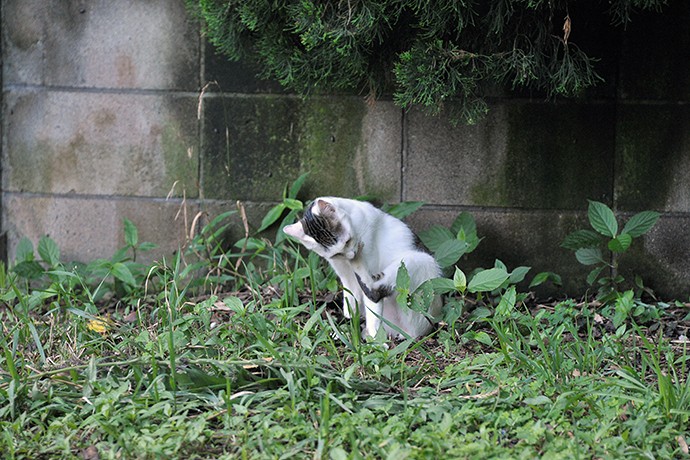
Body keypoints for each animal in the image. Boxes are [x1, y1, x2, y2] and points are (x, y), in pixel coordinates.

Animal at [284, 196, 440, 340]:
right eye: (337, 254)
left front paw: (375, 342)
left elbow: (373, 309)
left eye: (347, 241)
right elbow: (351, 300)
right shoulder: (345, 274)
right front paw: (349, 322)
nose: (351, 255)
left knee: (375, 291)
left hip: (421, 261)